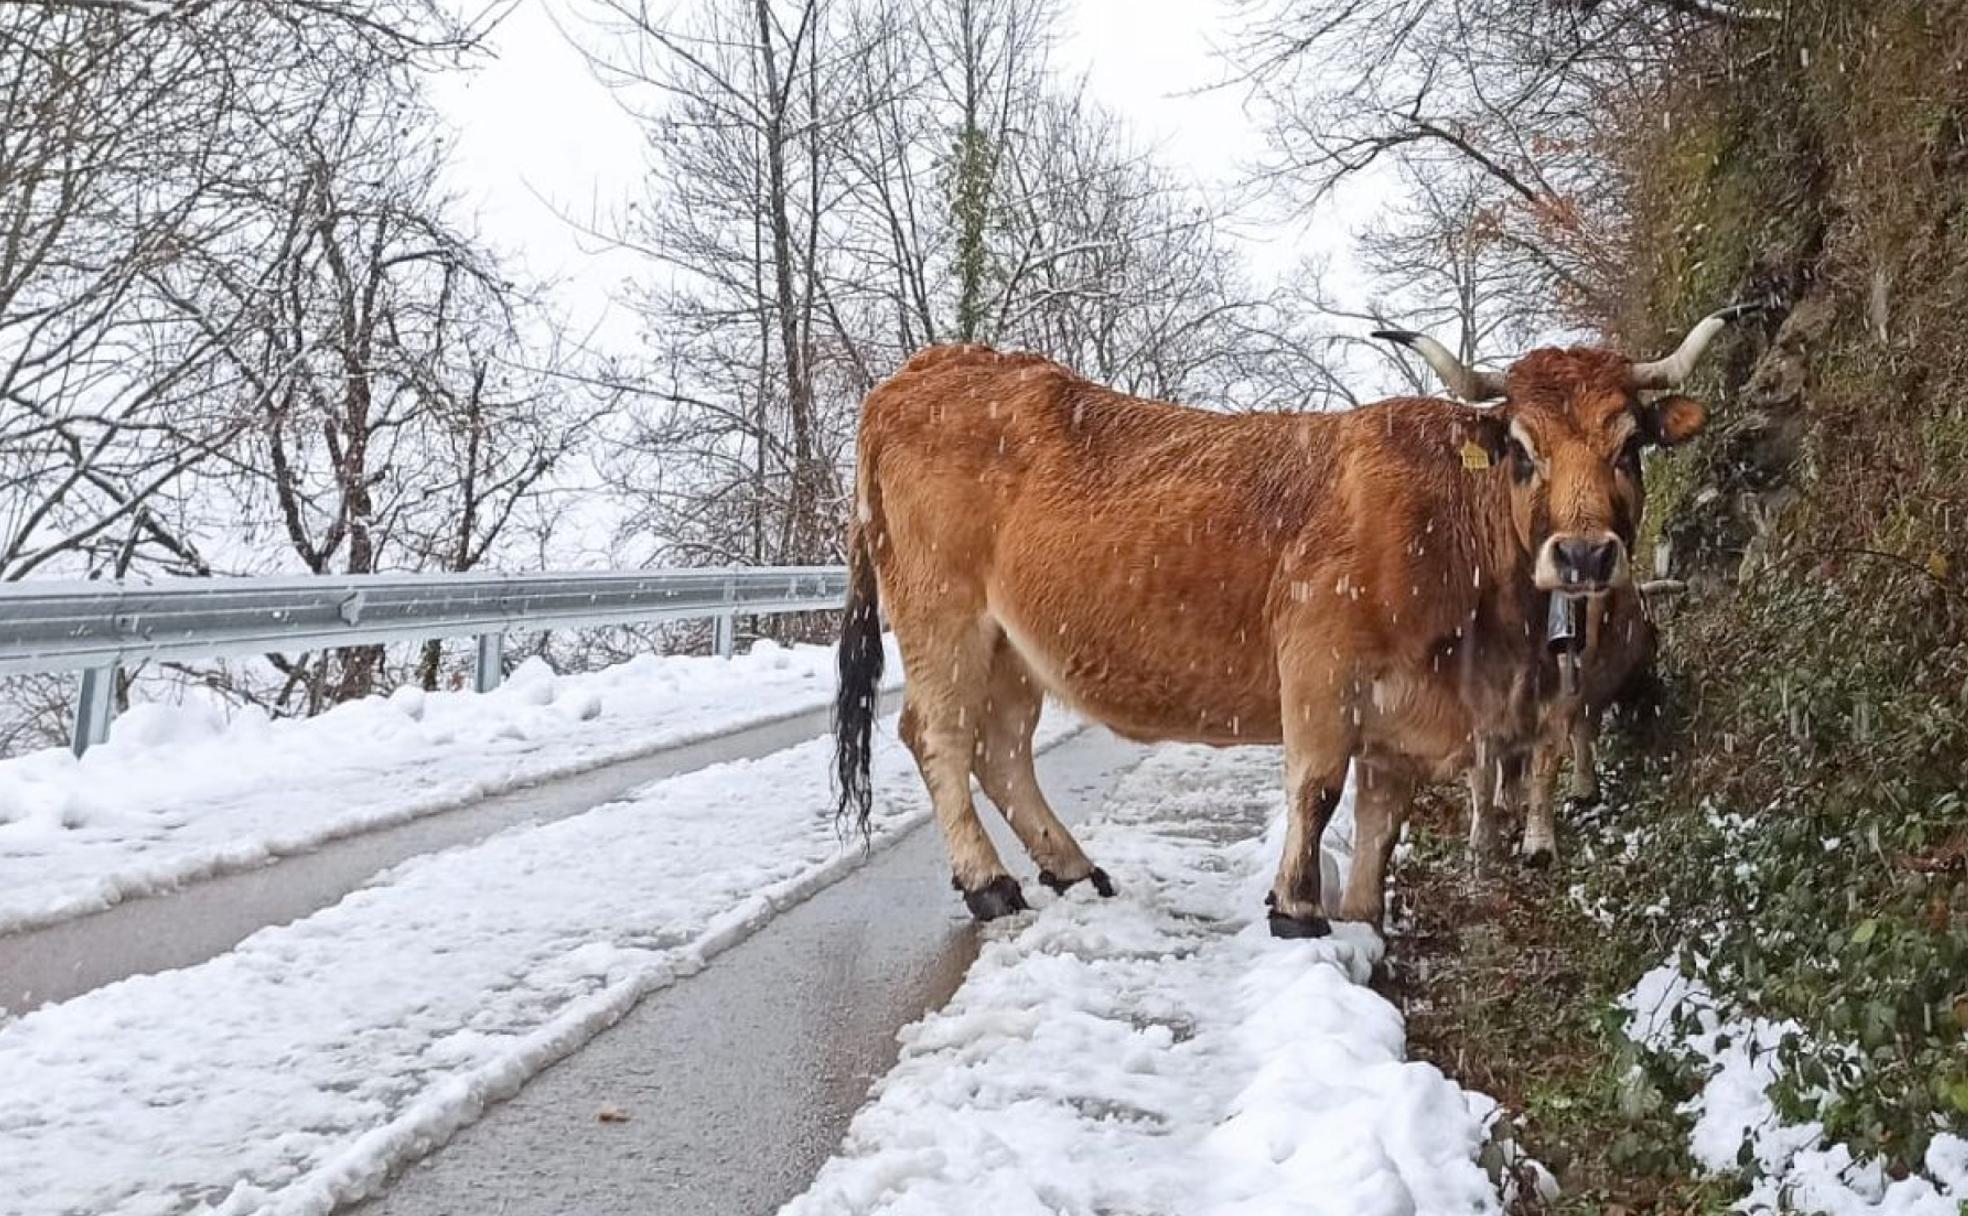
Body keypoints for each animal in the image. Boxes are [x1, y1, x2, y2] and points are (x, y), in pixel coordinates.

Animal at [830, 306, 1755, 932]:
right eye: (1523, 450)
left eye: (1630, 446)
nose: (1585, 555)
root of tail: (925, 368)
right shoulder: (1319, 664)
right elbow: (1316, 786)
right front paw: (1297, 907)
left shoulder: (1407, 714)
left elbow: (1381, 818)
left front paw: (1359, 915)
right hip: (942, 619)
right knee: (939, 737)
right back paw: (989, 882)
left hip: (1014, 648)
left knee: (1001, 749)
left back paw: (1073, 868)